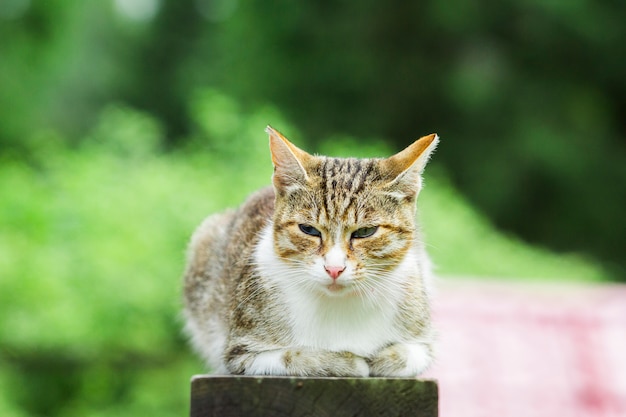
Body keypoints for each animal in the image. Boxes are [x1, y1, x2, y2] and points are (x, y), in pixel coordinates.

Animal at [184, 125, 438, 376]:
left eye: (365, 231)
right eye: (308, 229)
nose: (334, 269)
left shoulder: (421, 343)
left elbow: (404, 356)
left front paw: (380, 359)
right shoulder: (242, 354)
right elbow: (296, 357)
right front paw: (348, 362)